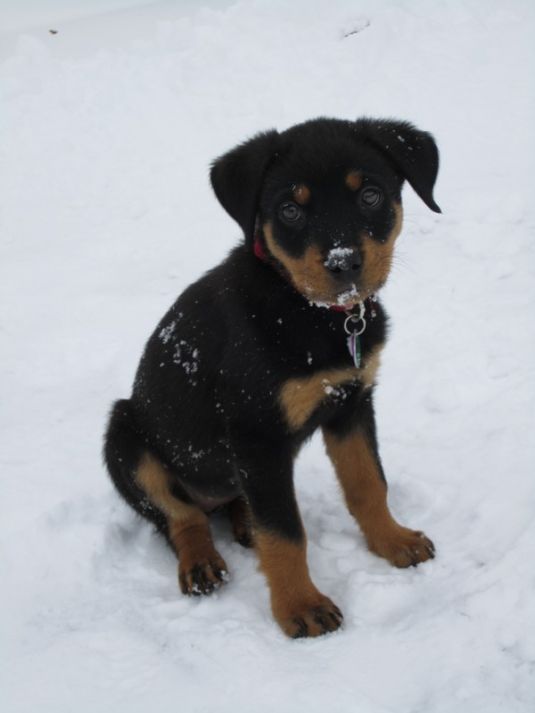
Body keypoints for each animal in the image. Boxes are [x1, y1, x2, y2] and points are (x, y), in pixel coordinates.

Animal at [103, 118, 440, 640]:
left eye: (370, 195)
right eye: (289, 209)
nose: (343, 262)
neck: (311, 314)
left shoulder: (352, 402)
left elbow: (369, 483)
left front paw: (393, 540)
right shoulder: (255, 432)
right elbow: (284, 531)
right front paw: (301, 607)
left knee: (235, 504)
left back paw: (243, 522)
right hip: (124, 437)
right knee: (181, 515)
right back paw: (201, 561)